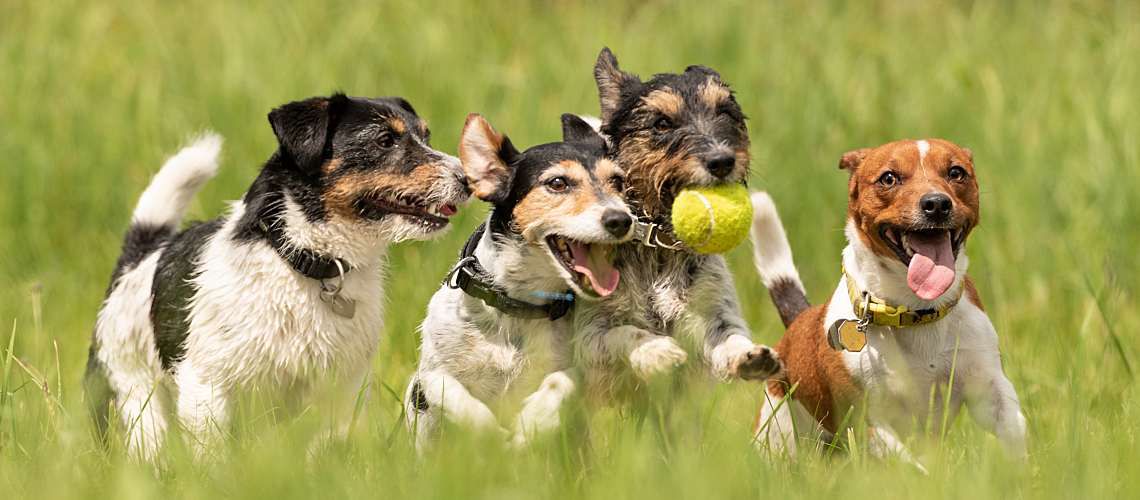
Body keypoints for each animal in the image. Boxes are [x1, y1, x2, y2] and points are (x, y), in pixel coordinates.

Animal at [83, 93, 467, 462]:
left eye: (426, 136)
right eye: (384, 140)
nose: (465, 179)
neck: (304, 262)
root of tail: (137, 262)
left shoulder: (341, 390)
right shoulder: (207, 387)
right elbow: (211, 457)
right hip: (136, 401)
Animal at [403, 113, 633, 451]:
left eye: (617, 181)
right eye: (558, 183)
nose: (621, 220)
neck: (517, 304)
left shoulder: (579, 367)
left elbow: (561, 381)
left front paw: (531, 423)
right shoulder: (429, 376)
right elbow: (452, 393)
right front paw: (491, 434)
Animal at [574, 48, 779, 396]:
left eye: (725, 112)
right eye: (662, 123)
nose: (722, 161)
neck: (659, 247)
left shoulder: (714, 311)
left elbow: (730, 336)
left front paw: (748, 356)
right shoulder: (589, 334)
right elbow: (624, 332)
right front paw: (655, 351)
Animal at [752, 138, 1030, 466]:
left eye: (956, 172)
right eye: (888, 178)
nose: (937, 203)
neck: (916, 310)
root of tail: (798, 320)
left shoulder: (988, 389)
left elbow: (1012, 429)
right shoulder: (868, 421)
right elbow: (909, 465)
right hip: (779, 430)